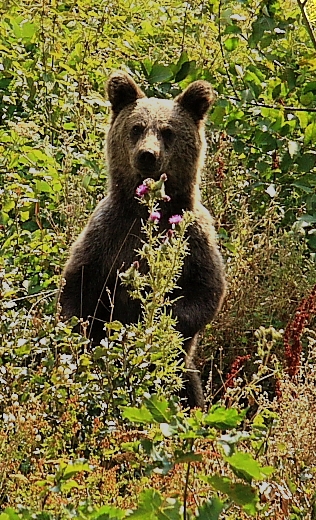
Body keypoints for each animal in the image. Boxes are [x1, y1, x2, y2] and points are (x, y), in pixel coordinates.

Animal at [59, 70, 226, 410]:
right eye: (136, 128)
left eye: (167, 131)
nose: (147, 155)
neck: (147, 213)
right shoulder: (108, 235)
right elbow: (77, 287)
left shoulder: (195, 239)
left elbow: (204, 293)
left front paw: (153, 320)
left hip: (181, 374)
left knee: (187, 389)